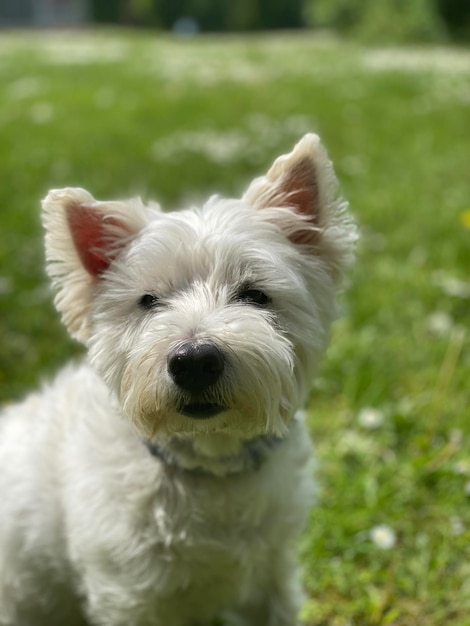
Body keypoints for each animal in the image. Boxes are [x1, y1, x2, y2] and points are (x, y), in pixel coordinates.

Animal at [0, 135, 354, 624]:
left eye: (255, 294)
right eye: (148, 300)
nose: (194, 361)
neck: (210, 466)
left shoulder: (271, 571)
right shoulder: (128, 594)